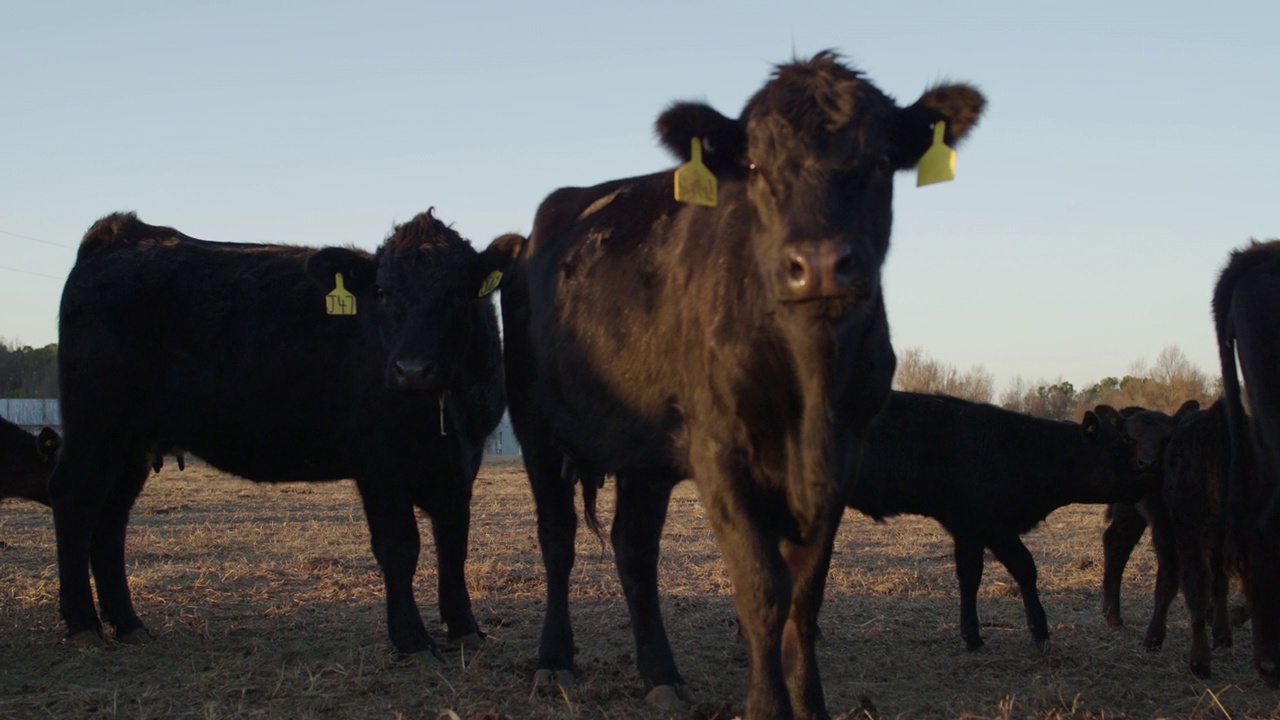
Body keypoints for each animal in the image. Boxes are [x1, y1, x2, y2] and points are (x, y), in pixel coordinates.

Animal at [51, 207, 509, 655]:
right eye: (381, 291)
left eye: (459, 292)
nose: (411, 370)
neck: (443, 412)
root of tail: (120, 232)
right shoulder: (378, 463)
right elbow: (399, 547)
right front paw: (412, 639)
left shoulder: (462, 463)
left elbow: (454, 543)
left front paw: (465, 628)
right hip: (93, 430)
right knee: (75, 506)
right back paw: (83, 625)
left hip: (131, 447)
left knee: (111, 521)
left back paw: (128, 624)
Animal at [496, 51, 977, 717]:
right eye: (753, 166)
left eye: (881, 162)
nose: (819, 265)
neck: (811, 384)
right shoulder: (718, 452)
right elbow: (762, 590)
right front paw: (767, 706)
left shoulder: (841, 459)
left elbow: (805, 595)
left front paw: (810, 705)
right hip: (537, 430)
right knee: (558, 539)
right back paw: (553, 663)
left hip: (646, 454)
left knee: (633, 548)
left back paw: (661, 676)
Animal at [849, 392, 1152, 650]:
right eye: (1116, 451)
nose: (1145, 472)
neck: (1022, 450)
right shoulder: (977, 528)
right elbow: (980, 576)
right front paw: (976, 638)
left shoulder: (991, 530)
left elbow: (1019, 569)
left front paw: (1036, 632)